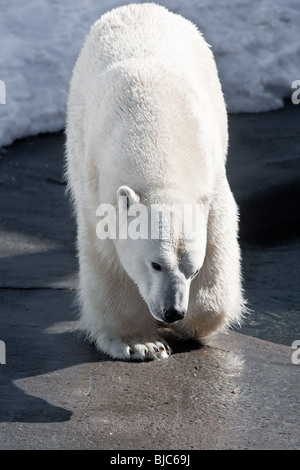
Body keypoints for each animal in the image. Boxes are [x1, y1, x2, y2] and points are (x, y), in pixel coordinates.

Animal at [65, 2, 244, 360]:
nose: (172, 311)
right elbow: (107, 258)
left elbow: (218, 240)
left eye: (193, 268)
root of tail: (142, 7)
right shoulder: (97, 185)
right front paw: (140, 343)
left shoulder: (212, 181)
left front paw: (193, 322)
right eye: (155, 264)